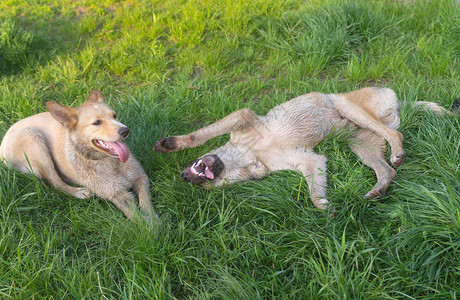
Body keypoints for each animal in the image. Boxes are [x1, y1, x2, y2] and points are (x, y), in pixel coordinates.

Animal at [0, 90, 156, 221]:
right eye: (97, 122)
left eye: (114, 115)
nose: (125, 130)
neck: (108, 161)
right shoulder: (115, 194)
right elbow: (135, 215)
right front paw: (149, 229)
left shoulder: (140, 177)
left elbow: (145, 201)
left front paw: (153, 220)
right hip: (34, 141)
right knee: (55, 182)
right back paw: (79, 192)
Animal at [155, 85, 452, 210]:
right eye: (210, 187)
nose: (184, 177)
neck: (251, 156)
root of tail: (401, 101)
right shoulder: (311, 161)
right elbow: (315, 196)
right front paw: (328, 210)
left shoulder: (242, 118)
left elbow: (199, 136)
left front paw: (171, 144)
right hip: (360, 145)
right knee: (387, 171)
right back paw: (377, 190)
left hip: (346, 106)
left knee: (395, 134)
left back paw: (397, 152)